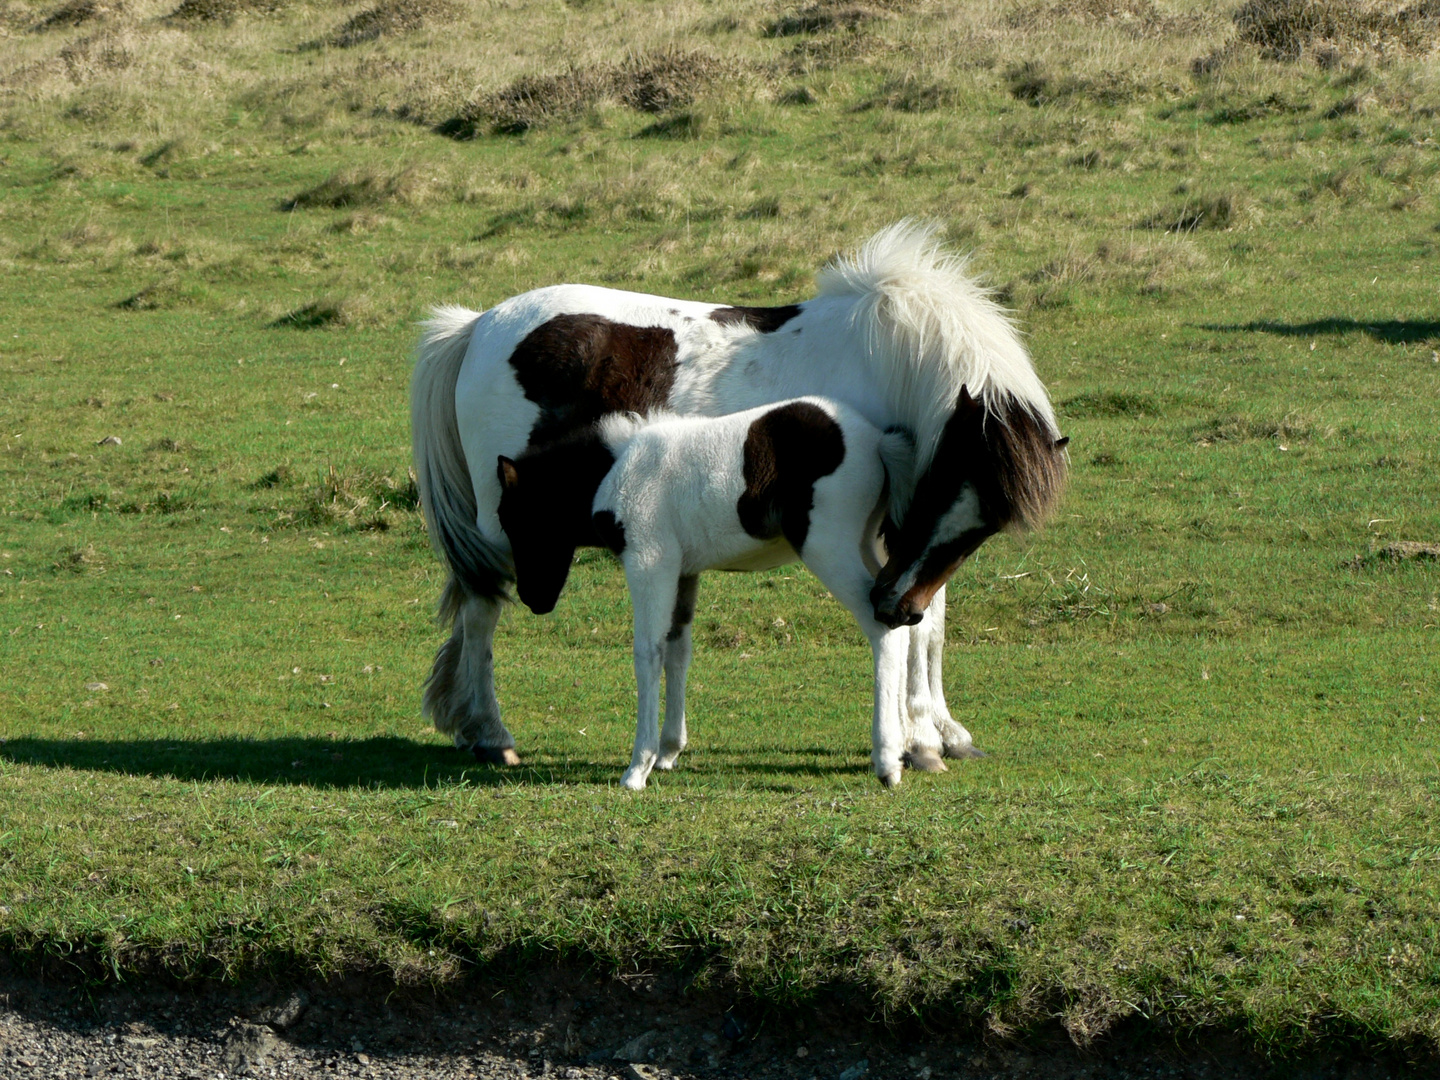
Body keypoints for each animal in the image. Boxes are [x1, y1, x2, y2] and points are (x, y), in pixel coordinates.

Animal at [495, 394, 944, 789]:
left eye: (516, 518)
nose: (534, 599)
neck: (616, 465)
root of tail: (877, 441)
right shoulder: (683, 571)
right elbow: (676, 649)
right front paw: (668, 752)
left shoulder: (648, 562)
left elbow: (647, 653)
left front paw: (637, 768)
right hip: (869, 544)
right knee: (902, 622)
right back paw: (903, 747)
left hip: (826, 546)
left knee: (879, 625)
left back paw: (886, 761)